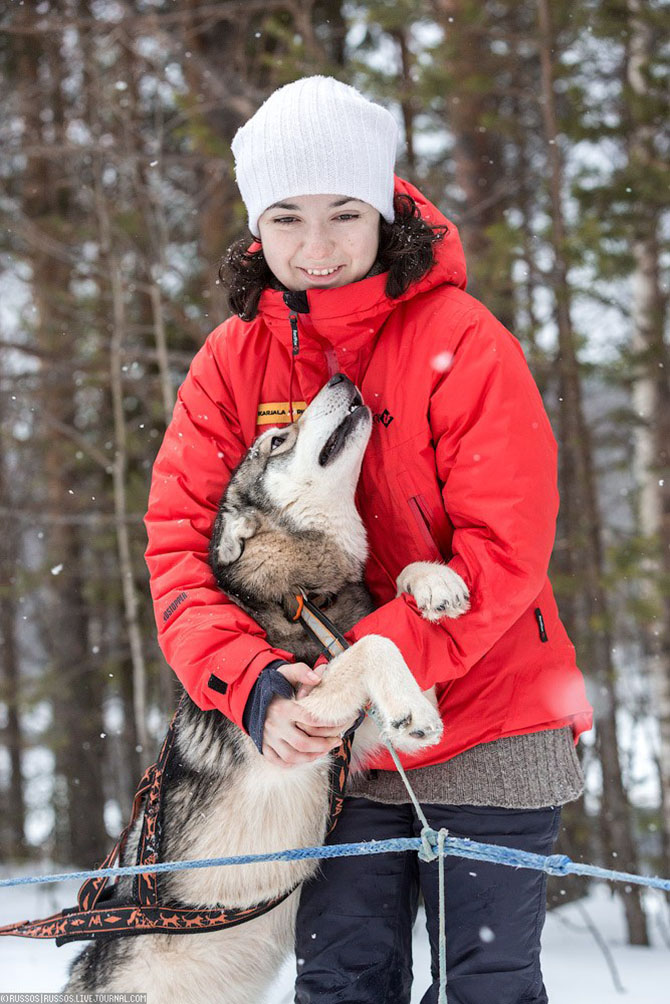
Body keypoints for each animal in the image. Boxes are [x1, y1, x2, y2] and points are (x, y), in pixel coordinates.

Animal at [65, 373, 470, 999]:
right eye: (278, 439)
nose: (339, 377)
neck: (301, 597)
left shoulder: (354, 733)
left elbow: (391, 626)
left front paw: (432, 582)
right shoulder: (297, 726)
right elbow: (373, 645)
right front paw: (411, 709)